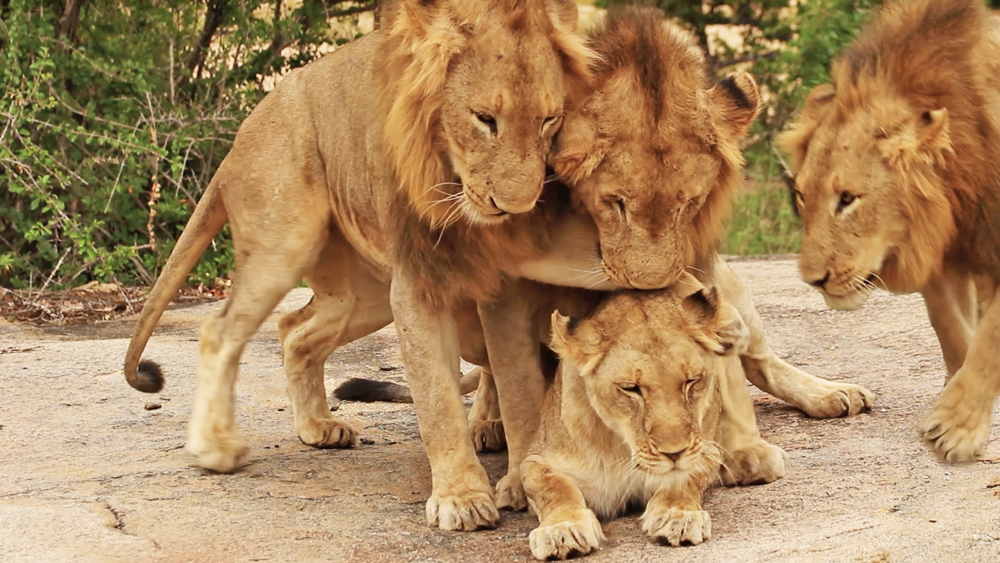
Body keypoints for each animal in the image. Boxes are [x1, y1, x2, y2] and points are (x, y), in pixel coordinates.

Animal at [122, 0, 601, 532]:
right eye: (484, 119)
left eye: (549, 121)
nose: (517, 207)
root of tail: (238, 139)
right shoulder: (417, 286)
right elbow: (437, 398)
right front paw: (460, 497)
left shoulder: (504, 287)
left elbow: (519, 389)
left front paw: (518, 480)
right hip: (283, 246)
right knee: (220, 330)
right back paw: (216, 448)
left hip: (361, 295)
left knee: (294, 329)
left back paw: (320, 427)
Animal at [523, 277, 787, 560]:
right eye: (630, 388)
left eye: (691, 381)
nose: (674, 453)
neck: (623, 447)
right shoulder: (536, 459)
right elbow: (554, 486)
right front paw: (563, 529)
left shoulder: (705, 447)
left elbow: (684, 478)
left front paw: (676, 516)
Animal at [777, 0, 1000, 462]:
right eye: (803, 196)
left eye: (848, 198)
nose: (813, 280)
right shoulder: (937, 254)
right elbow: (952, 331)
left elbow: (991, 339)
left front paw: (957, 428)